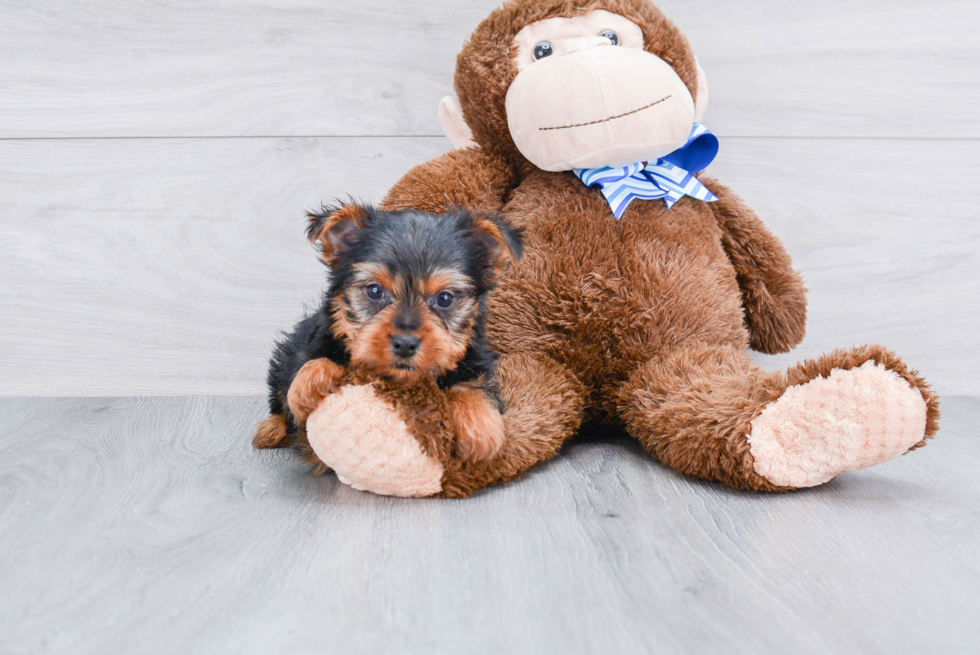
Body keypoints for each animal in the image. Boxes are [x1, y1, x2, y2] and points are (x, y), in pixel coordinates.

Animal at [256, 205, 524, 466]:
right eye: (374, 291)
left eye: (445, 298)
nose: (405, 344)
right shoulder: (309, 344)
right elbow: (313, 361)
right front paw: (308, 382)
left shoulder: (476, 359)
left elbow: (474, 385)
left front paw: (479, 429)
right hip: (285, 353)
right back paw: (272, 428)